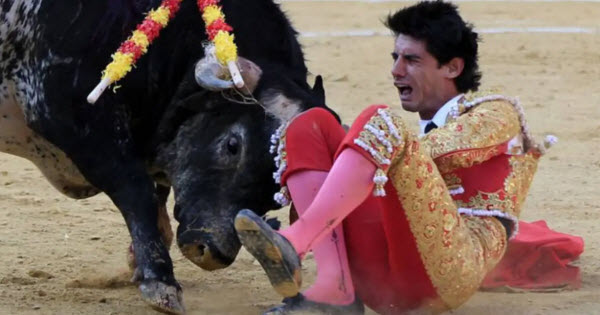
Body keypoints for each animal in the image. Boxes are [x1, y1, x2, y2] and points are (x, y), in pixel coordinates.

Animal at [0, 0, 338, 312]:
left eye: (277, 193)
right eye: (232, 145)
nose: (210, 250)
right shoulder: (70, 118)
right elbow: (136, 191)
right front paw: (160, 282)